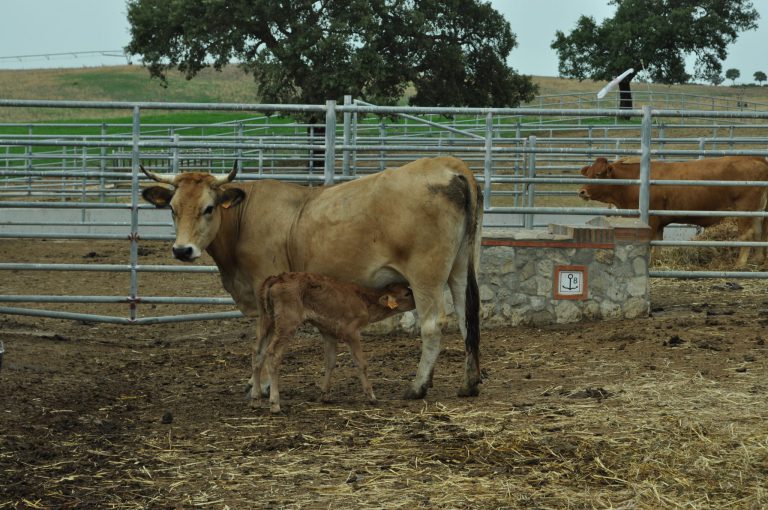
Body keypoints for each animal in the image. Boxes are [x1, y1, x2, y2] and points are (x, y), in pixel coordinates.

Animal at [255, 272, 414, 412]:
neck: (364, 301)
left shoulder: (328, 332)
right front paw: (371, 396)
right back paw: (275, 403)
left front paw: (325, 395)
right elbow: (361, 363)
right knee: (272, 354)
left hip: (266, 319)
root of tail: (276, 278)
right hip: (287, 322)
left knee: (257, 353)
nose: (416, 303)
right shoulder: (351, 332)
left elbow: (330, 361)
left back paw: (255, 399)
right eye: (407, 293)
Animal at [580, 156, 768, 266]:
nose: (581, 191)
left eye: (598, 174)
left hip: (744, 210)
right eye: (587, 174)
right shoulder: (659, 221)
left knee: (746, 235)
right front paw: (656, 261)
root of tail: (756, 159)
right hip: (757, 212)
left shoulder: (651, 219)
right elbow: (658, 242)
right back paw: (758, 260)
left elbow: (652, 241)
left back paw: (740, 264)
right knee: (759, 232)